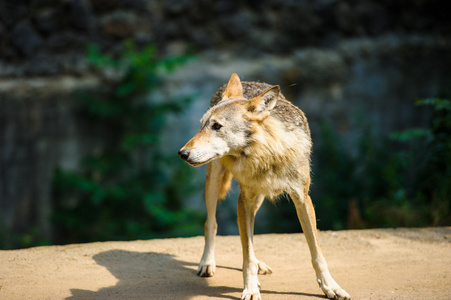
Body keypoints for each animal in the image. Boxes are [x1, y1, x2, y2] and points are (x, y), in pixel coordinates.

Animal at [178, 73, 352, 300]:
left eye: (217, 126)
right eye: (201, 126)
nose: (182, 153)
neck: (268, 154)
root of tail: (244, 81)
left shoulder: (302, 198)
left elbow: (316, 253)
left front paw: (331, 286)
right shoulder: (243, 199)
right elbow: (246, 255)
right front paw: (251, 289)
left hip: (257, 199)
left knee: (246, 236)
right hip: (215, 183)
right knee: (212, 223)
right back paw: (207, 263)